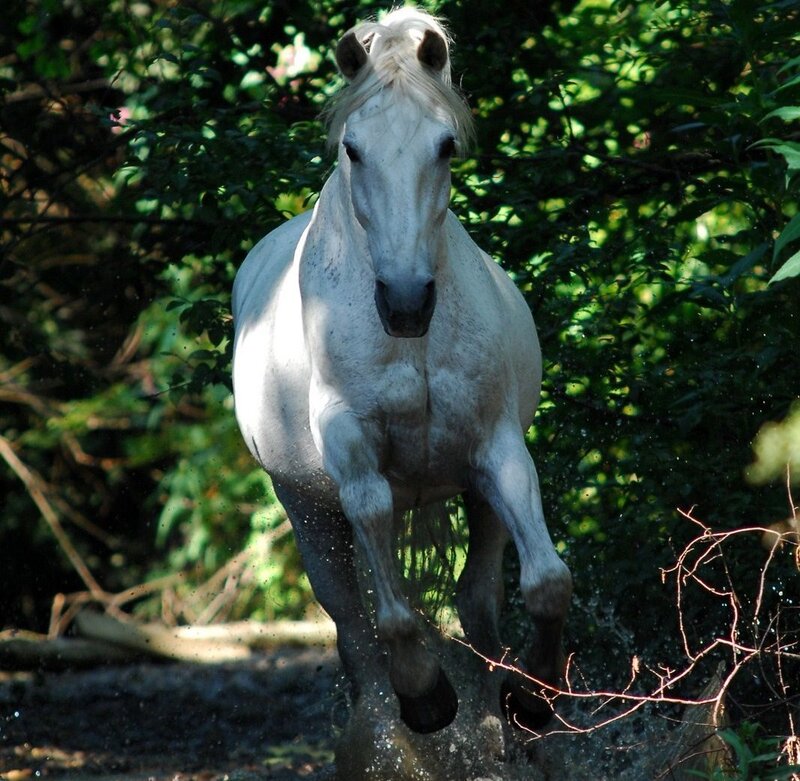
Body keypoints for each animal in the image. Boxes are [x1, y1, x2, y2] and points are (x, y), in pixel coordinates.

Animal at [232, 8, 572, 736]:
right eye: (354, 149)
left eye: (443, 146)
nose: (407, 302)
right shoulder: (353, 461)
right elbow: (388, 613)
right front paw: (426, 695)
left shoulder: (498, 450)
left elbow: (547, 582)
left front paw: (534, 697)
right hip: (307, 511)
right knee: (352, 628)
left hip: (476, 497)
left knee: (477, 600)